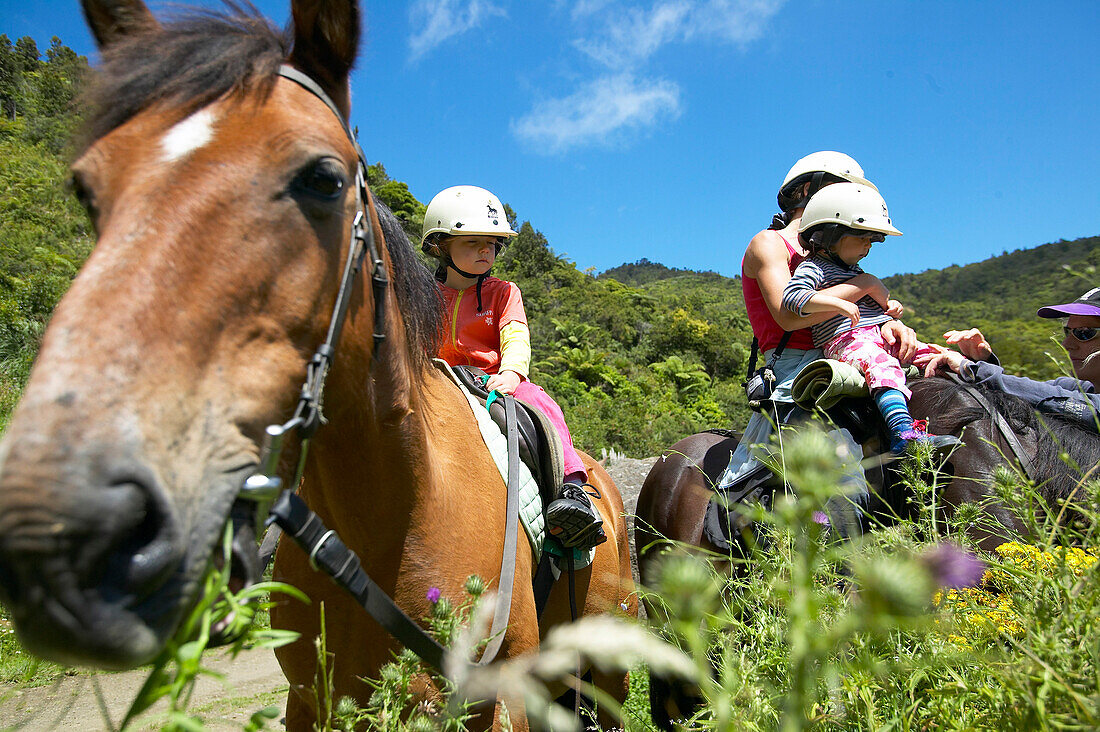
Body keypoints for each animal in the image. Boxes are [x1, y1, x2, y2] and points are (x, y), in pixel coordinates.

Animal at [0, 2, 638, 726]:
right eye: (86, 189)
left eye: (324, 181)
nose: (67, 535)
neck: (393, 511)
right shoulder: (313, 701)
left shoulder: (504, 702)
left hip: (608, 673)